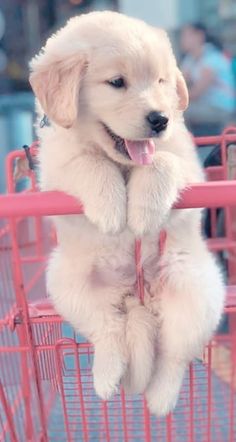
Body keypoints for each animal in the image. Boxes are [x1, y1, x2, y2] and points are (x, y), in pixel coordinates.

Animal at [30, 11, 225, 418]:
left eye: (162, 81)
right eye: (117, 82)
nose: (160, 119)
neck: (122, 163)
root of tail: (139, 297)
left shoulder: (187, 163)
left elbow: (162, 160)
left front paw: (142, 212)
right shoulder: (56, 168)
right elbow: (88, 162)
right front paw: (111, 209)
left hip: (196, 288)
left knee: (173, 355)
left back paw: (160, 399)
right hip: (68, 283)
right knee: (108, 332)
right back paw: (105, 377)